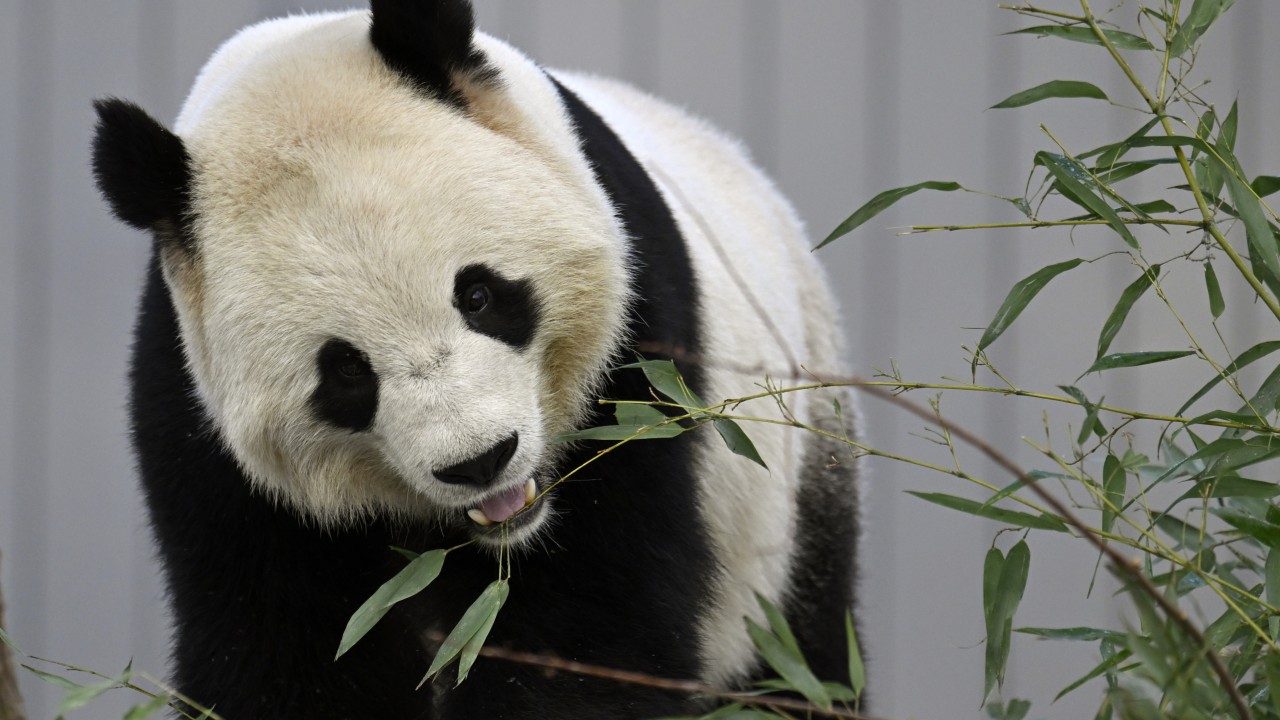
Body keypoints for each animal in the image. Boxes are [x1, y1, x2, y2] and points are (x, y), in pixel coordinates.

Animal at [91, 1, 860, 718]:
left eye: (480, 295)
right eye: (345, 370)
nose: (480, 461)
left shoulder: (639, 372)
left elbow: (591, 633)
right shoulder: (207, 438)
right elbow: (277, 651)